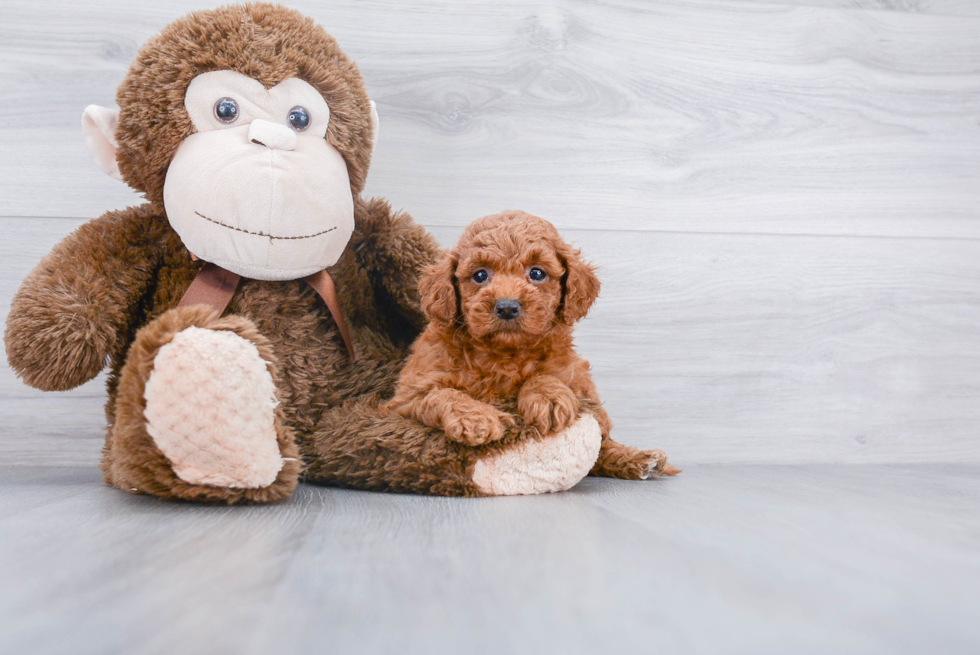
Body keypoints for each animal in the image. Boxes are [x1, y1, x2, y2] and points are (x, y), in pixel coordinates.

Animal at [386, 211, 676, 482]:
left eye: (537, 273)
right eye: (480, 275)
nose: (507, 306)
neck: (504, 354)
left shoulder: (576, 378)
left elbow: (550, 376)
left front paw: (547, 398)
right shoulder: (406, 396)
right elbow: (442, 394)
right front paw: (476, 418)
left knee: (603, 447)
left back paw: (642, 459)